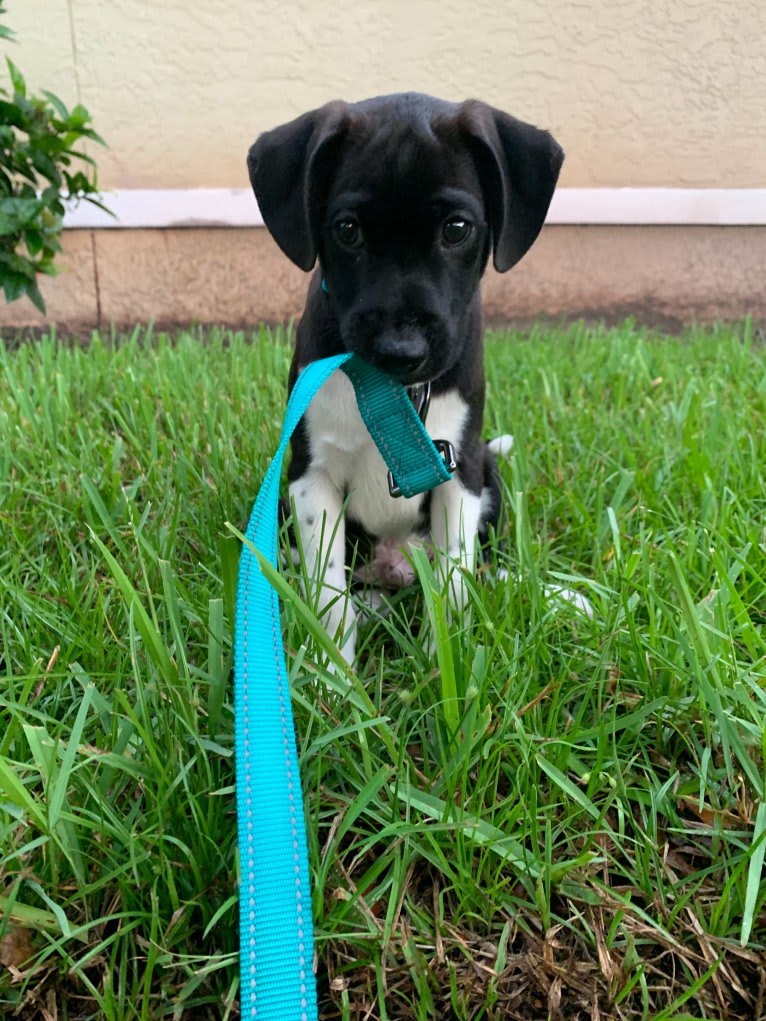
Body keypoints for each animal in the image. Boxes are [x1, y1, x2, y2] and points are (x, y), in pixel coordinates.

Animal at [247, 93, 563, 661]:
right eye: (347, 230)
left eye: (456, 229)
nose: (401, 351)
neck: (393, 395)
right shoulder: (310, 478)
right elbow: (328, 592)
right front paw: (333, 672)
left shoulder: (459, 470)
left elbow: (455, 583)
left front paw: (448, 668)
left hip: (488, 475)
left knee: (485, 569)